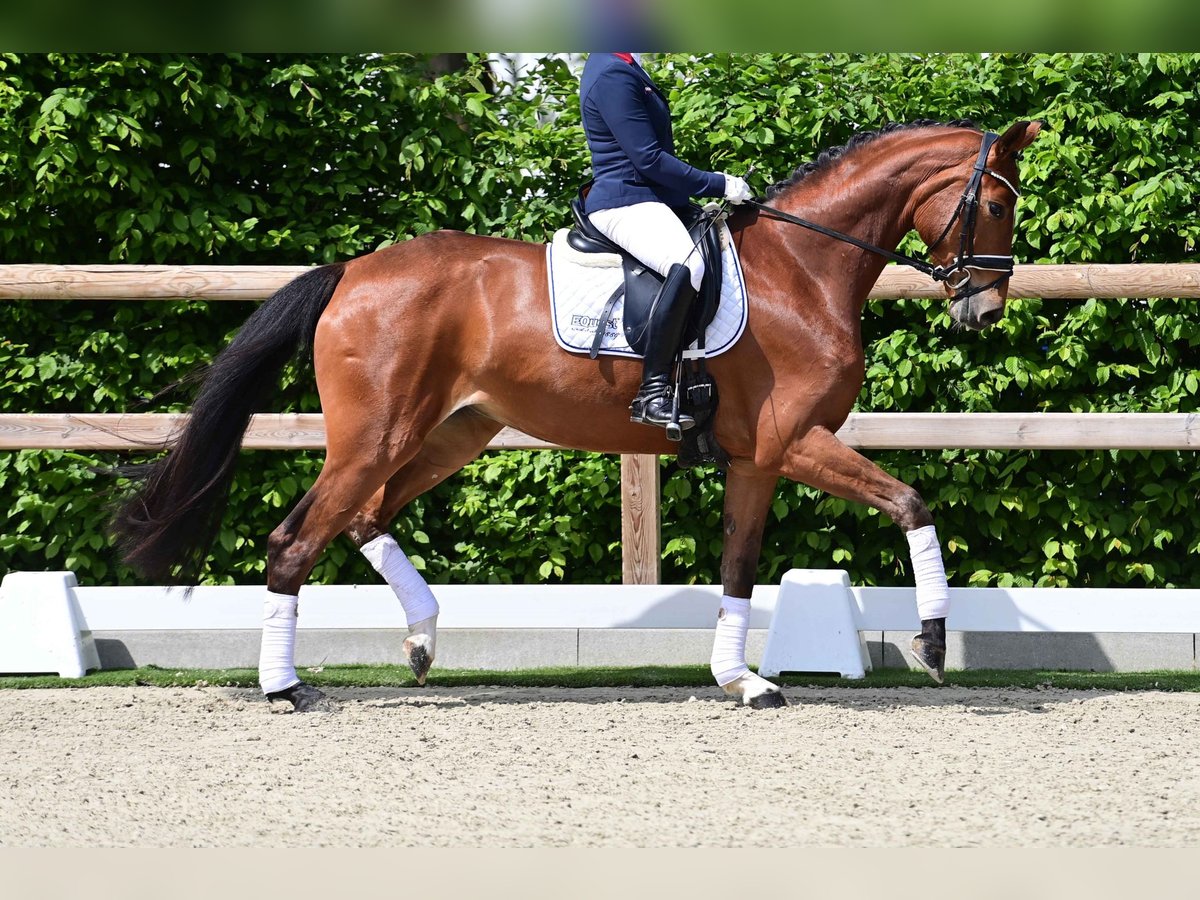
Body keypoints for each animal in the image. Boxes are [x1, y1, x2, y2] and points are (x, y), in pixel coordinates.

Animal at [117, 120, 1046, 710]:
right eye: (999, 205)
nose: (985, 310)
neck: (803, 265)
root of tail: (352, 271)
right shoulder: (797, 441)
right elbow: (911, 503)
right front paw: (933, 643)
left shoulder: (758, 458)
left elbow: (739, 569)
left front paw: (741, 681)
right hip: (375, 436)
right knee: (297, 540)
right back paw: (285, 688)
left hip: (451, 432)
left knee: (366, 518)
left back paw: (421, 642)